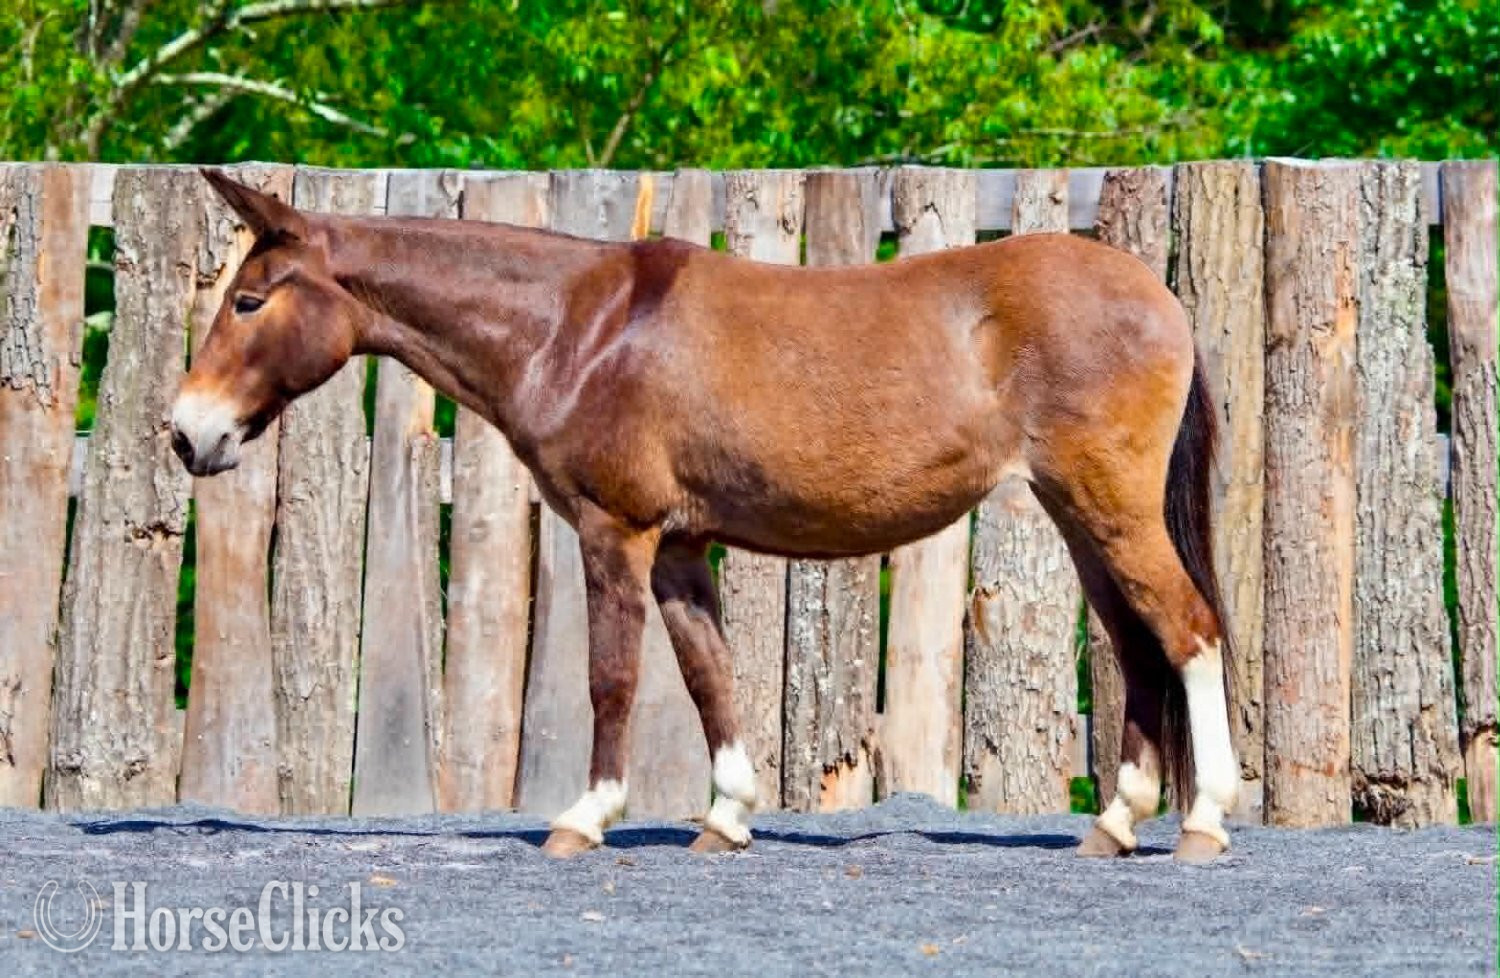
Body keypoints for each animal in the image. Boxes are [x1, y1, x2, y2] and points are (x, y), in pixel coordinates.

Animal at [173, 169, 1239, 863]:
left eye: (249, 300)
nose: (187, 433)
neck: (580, 329)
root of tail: (1161, 299)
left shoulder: (615, 530)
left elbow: (612, 677)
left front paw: (585, 818)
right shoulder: (681, 545)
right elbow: (707, 676)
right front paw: (725, 819)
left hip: (1110, 509)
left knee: (1189, 632)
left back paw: (1204, 822)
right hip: (1081, 514)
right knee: (1141, 649)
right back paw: (1115, 825)